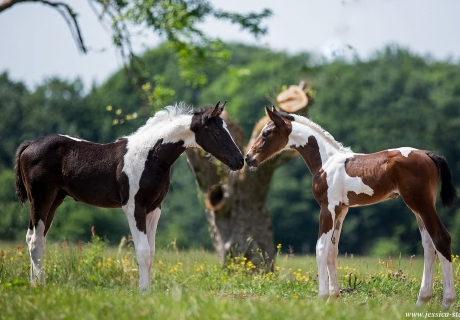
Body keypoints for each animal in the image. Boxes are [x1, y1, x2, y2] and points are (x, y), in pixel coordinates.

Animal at [15, 101, 244, 292]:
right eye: (217, 132)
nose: (240, 161)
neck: (149, 156)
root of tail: (29, 145)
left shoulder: (154, 209)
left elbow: (151, 252)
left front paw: (148, 291)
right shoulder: (134, 207)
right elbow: (142, 251)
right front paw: (142, 292)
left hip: (55, 199)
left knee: (35, 237)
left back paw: (35, 283)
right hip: (41, 198)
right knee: (35, 239)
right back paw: (39, 285)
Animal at [246, 105, 454, 308]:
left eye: (266, 133)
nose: (248, 158)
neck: (325, 162)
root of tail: (427, 154)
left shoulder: (327, 208)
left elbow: (320, 248)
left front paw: (322, 297)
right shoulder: (341, 210)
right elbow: (332, 251)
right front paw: (333, 297)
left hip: (421, 203)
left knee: (441, 238)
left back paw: (446, 302)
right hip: (418, 208)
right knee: (428, 245)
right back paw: (422, 300)